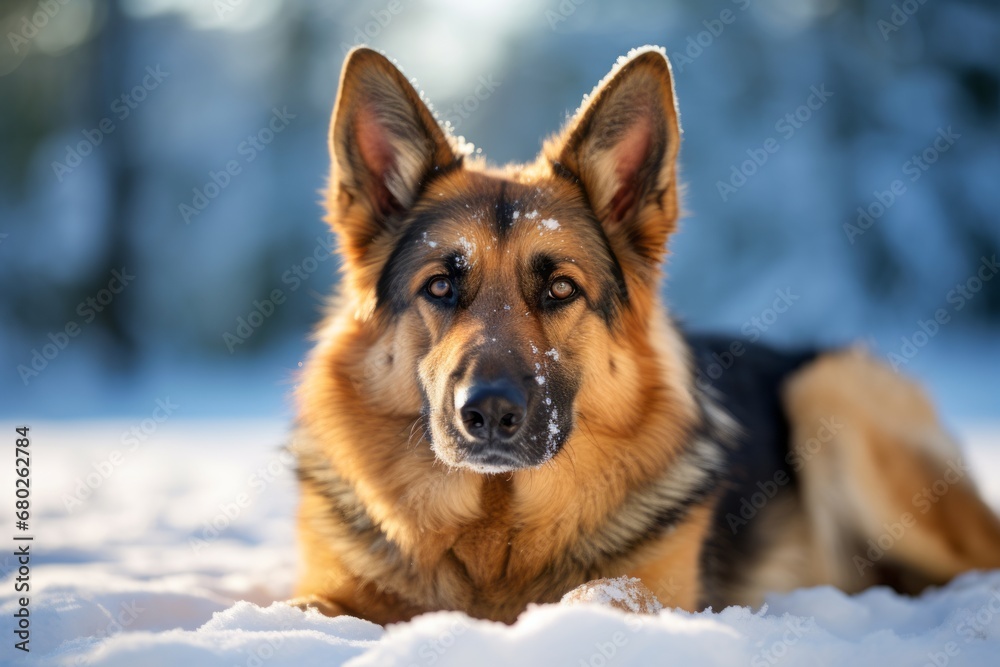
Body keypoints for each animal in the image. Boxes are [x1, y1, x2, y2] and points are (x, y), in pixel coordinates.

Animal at [292, 47, 1000, 628]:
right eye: (440, 286)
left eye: (561, 289)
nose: (488, 413)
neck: (496, 537)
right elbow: (304, 609)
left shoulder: (658, 592)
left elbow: (597, 591)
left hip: (828, 389)